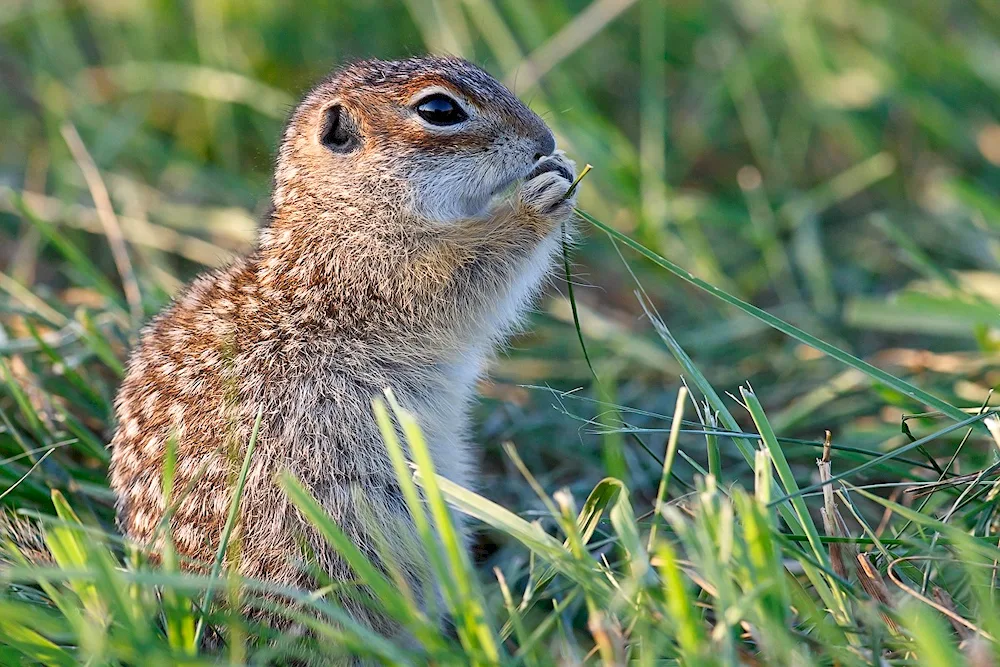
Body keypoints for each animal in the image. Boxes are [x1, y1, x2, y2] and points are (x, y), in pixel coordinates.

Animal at [107, 57, 580, 636]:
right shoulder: (386, 275)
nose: (545, 139)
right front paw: (537, 201)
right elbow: (471, 270)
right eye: (440, 109)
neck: (340, 214)